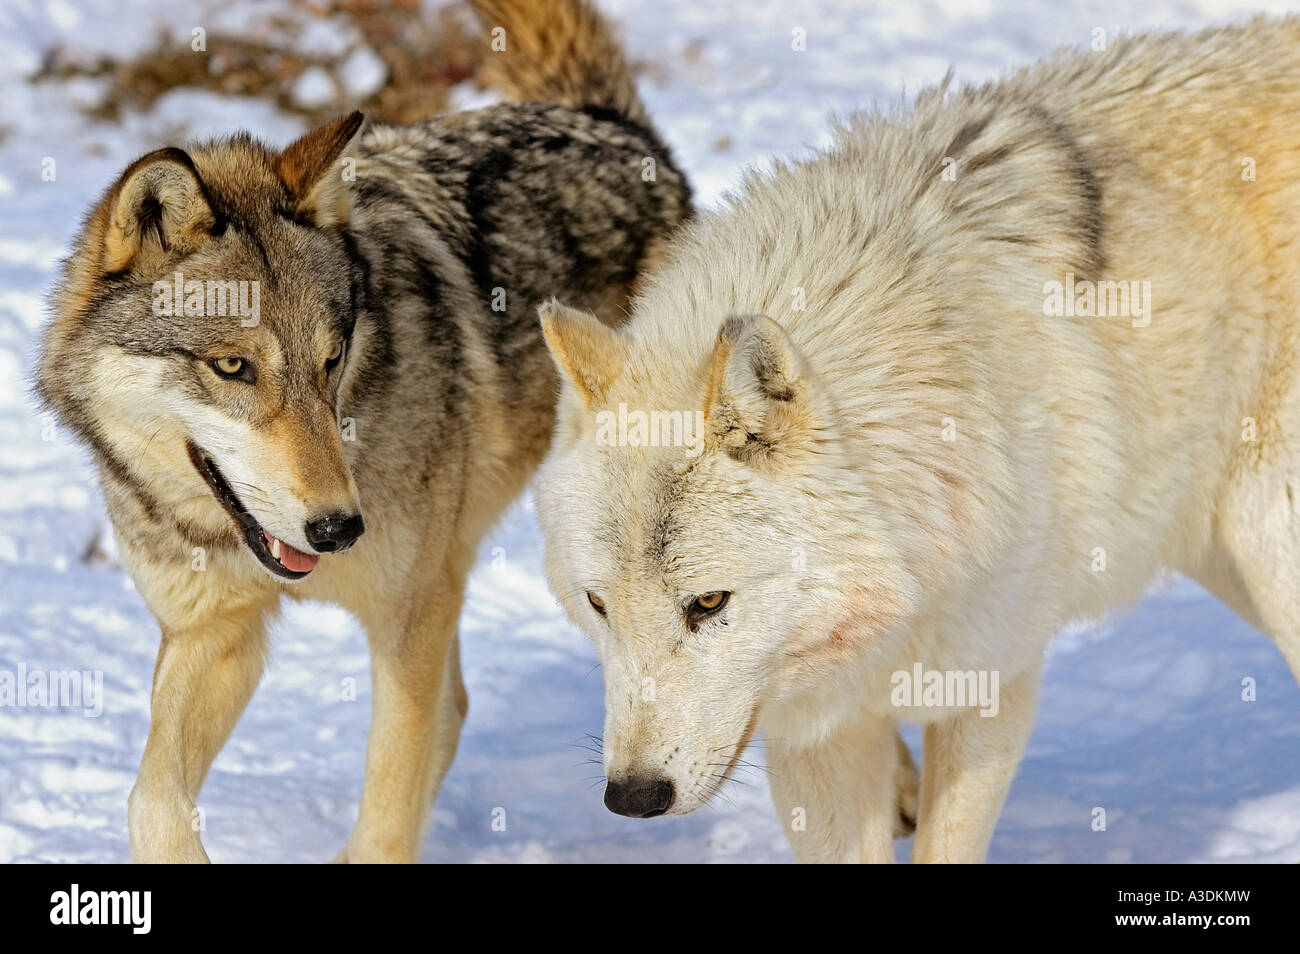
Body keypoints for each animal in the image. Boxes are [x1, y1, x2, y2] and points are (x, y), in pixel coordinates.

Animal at [38, 0, 691, 868]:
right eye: (234, 367)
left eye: (332, 359)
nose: (339, 528)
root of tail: (615, 127)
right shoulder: (215, 634)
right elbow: (151, 800)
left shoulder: (406, 621)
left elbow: (387, 813)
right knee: (456, 706)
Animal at [533, 14, 1300, 868]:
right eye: (597, 604)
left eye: (707, 603)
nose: (632, 797)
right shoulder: (819, 735)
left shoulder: (990, 685)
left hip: (1271, 554)